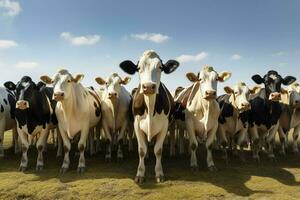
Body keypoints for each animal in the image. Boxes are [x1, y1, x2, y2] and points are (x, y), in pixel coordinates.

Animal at [119, 49, 179, 183]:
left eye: (160, 67)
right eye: (138, 68)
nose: (148, 87)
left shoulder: (164, 126)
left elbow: (158, 150)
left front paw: (159, 173)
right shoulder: (136, 124)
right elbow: (141, 150)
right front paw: (140, 174)